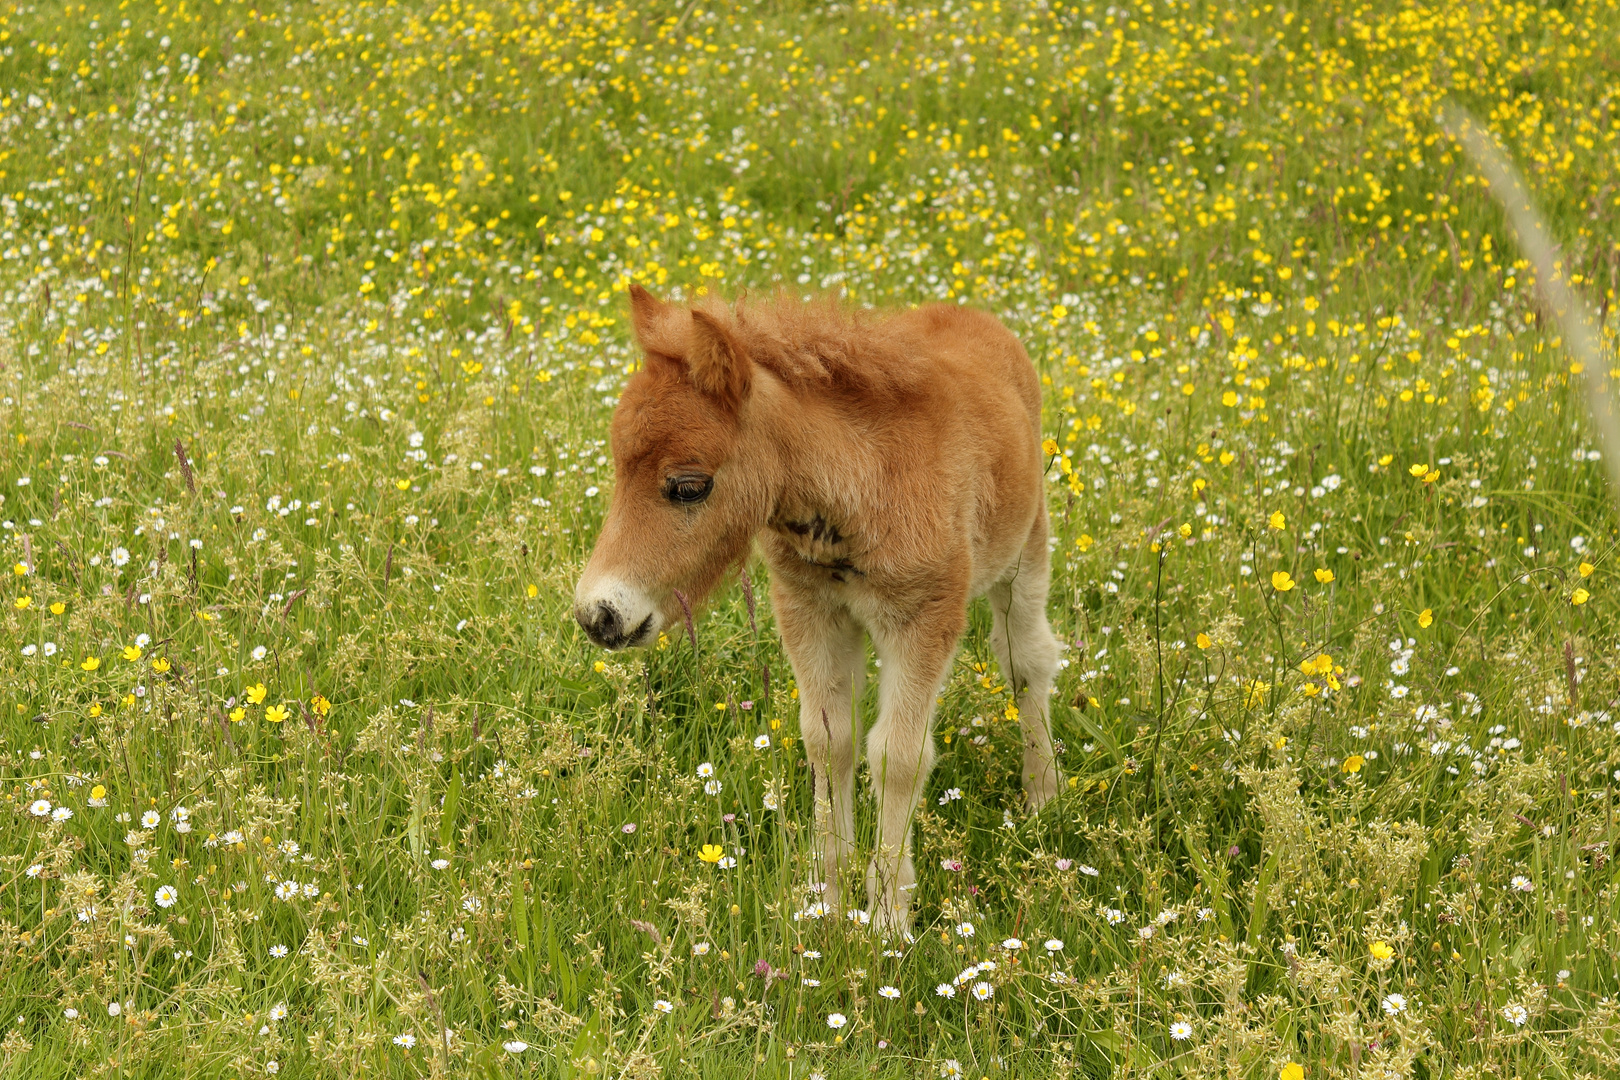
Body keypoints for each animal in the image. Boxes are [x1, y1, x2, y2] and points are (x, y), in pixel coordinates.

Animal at [573, 284, 1062, 932]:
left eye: (688, 486)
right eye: (619, 467)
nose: (599, 615)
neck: (857, 482)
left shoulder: (922, 619)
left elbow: (898, 756)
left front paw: (888, 920)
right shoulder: (809, 609)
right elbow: (829, 742)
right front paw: (825, 902)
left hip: (1025, 550)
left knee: (1026, 661)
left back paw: (1042, 795)